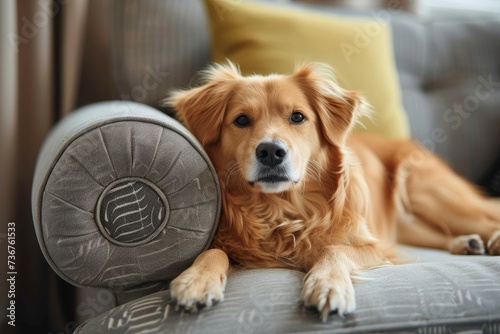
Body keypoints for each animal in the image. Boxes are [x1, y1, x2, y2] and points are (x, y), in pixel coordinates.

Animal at [165, 62, 500, 320]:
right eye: (241, 120)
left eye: (298, 117)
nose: (271, 151)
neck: (282, 209)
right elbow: (214, 250)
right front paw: (197, 278)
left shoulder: (374, 246)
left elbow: (333, 248)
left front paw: (327, 284)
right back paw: (466, 243)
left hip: (427, 191)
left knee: (486, 217)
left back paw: (490, 240)